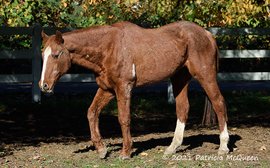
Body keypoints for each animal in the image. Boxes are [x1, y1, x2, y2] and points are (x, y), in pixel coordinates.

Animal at [40, 21, 229, 159]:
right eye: (43, 56)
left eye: (56, 55)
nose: (44, 85)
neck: (109, 47)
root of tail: (207, 34)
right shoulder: (107, 89)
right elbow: (92, 112)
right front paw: (101, 149)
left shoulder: (124, 88)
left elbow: (124, 119)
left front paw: (126, 152)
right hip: (179, 78)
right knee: (183, 109)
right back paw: (172, 148)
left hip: (205, 76)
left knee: (219, 103)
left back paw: (223, 146)